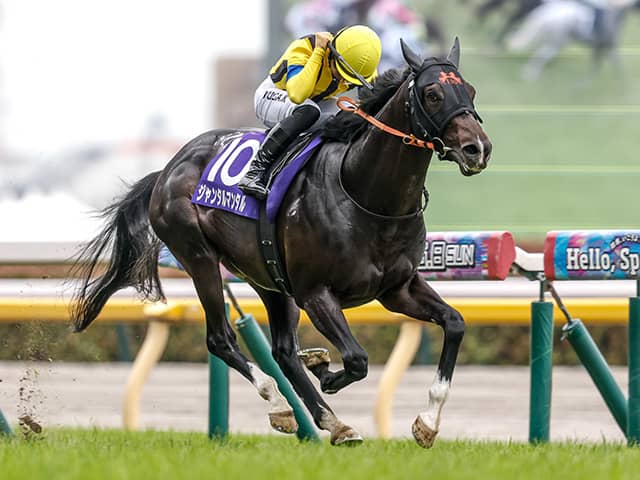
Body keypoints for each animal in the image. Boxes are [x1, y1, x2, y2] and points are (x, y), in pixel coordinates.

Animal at [70, 38, 491, 448]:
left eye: (470, 90)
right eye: (433, 94)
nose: (478, 148)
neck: (367, 196)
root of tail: (167, 169)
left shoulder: (397, 289)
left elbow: (454, 324)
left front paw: (427, 423)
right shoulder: (315, 292)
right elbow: (356, 359)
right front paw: (328, 374)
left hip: (267, 276)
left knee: (284, 351)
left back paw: (333, 422)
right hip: (199, 256)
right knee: (221, 338)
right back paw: (281, 404)